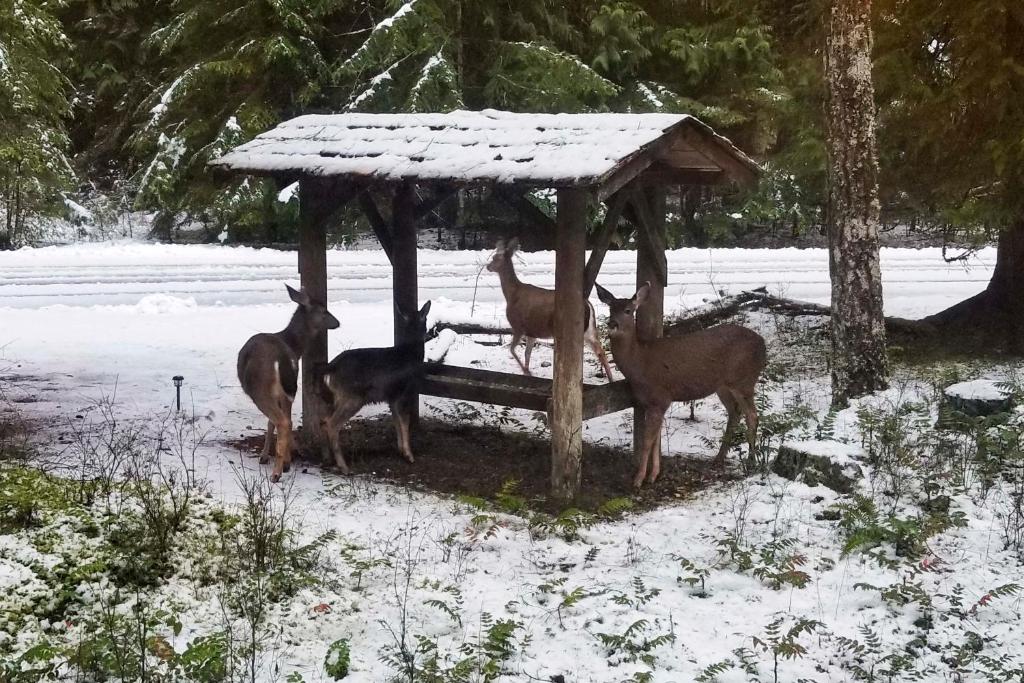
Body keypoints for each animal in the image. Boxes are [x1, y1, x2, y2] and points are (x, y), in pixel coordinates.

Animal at [236, 286, 339, 483]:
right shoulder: (286, 393)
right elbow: (275, 422)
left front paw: (265, 457)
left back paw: (276, 474)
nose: (338, 322)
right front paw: (283, 459)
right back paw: (285, 464)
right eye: (324, 310)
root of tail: (282, 356)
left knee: (282, 421)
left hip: (260, 389)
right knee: (286, 421)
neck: (293, 345)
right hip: (289, 387)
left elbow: (273, 422)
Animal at [489, 237, 614, 382]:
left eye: (496, 258)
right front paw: (527, 372)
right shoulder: (531, 332)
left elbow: (512, 350)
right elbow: (527, 353)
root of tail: (587, 304)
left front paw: (527, 371)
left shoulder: (518, 326)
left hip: (569, 329)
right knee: (600, 351)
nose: (488, 266)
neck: (512, 294)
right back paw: (611, 380)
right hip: (590, 329)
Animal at [593, 282, 770, 491]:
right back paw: (719, 459)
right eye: (610, 309)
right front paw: (653, 475)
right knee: (735, 413)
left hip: (743, 379)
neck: (639, 363)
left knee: (752, 415)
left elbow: (648, 441)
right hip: (723, 386)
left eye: (628, 310)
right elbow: (657, 439)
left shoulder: (660, 396)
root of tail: (764, 344)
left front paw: (638, 479)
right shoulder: (654, 403)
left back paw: (751, 462)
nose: (612, 324)